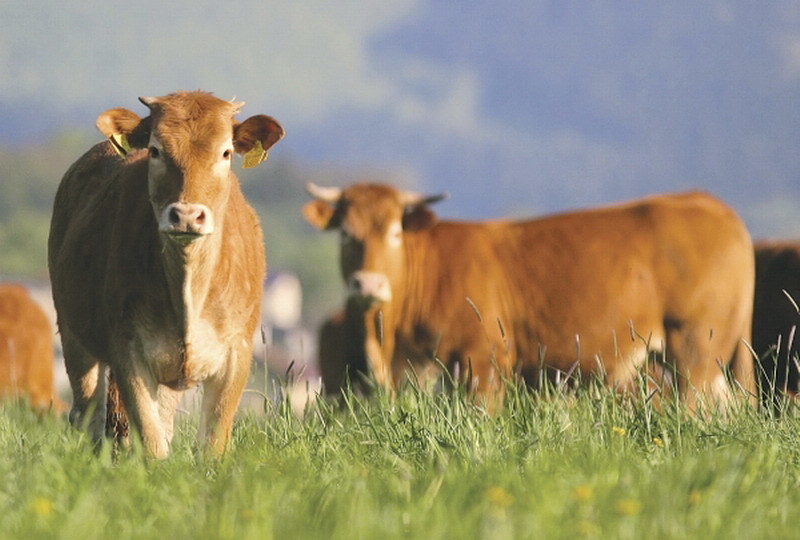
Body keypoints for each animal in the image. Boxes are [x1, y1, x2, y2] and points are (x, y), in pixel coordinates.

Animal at [48, 90, 286, 458]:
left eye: (226, 152)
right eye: (156, 150)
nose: (186, 215)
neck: (188, 287)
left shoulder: (238, 352)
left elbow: (212, 440)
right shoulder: (127, 350)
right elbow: (151, 440)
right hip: (73, 335)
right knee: (90, 413)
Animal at [304, 181, 756, 410]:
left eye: (395, 233)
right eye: (346, 235)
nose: (369, 285)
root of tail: (707, 202)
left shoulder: (483, 360)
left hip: (695, 351)